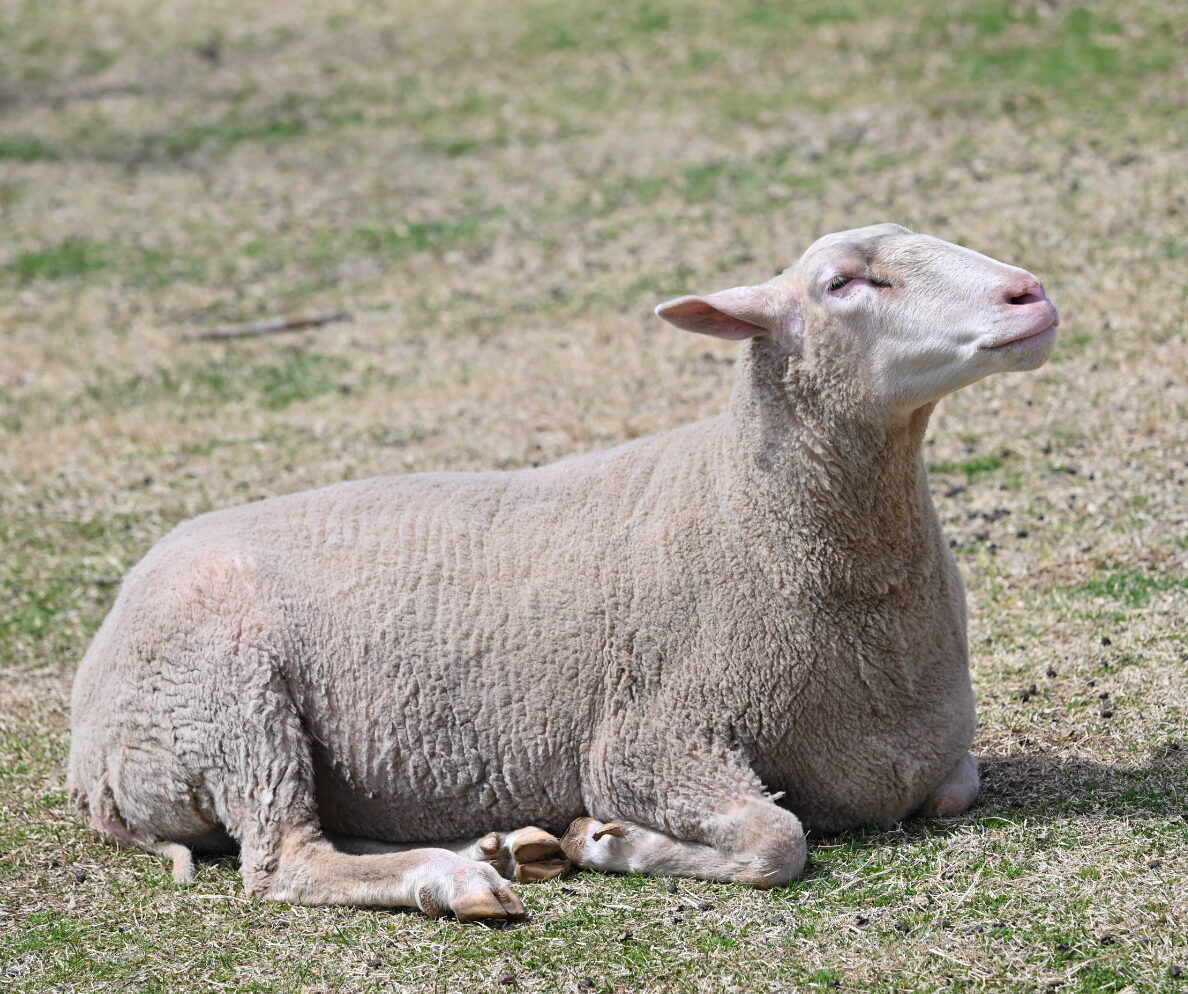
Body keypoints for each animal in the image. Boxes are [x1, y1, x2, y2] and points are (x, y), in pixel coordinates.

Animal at [69, 224, 1059, 921]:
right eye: (845, 283)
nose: (1031, 293)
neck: (751, 516)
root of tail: (89, 757)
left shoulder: (930, 755)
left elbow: (956, 788)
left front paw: (575, 844)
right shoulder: (652, 735)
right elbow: (777, 840)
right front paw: (604, 842)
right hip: (230, 707)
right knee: (284, 861)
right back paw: (458, 878)